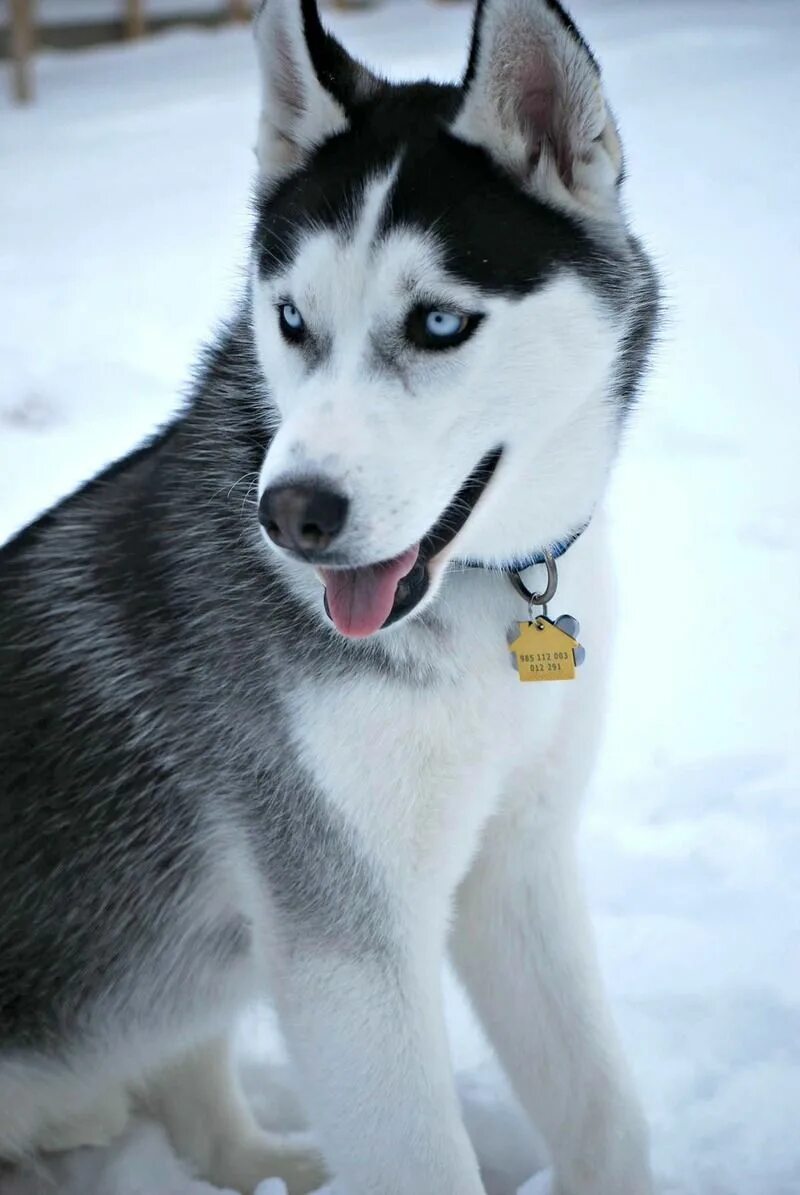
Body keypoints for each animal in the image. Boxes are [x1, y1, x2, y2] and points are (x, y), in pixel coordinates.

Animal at [1, 0, 655, 1190]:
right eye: (293, 320)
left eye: (438, 323)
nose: (290, 514)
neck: (479, 605)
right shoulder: (350, 939)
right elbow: (424, 1155)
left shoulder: (517, 861)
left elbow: (605, 1114)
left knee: (199, 1106)